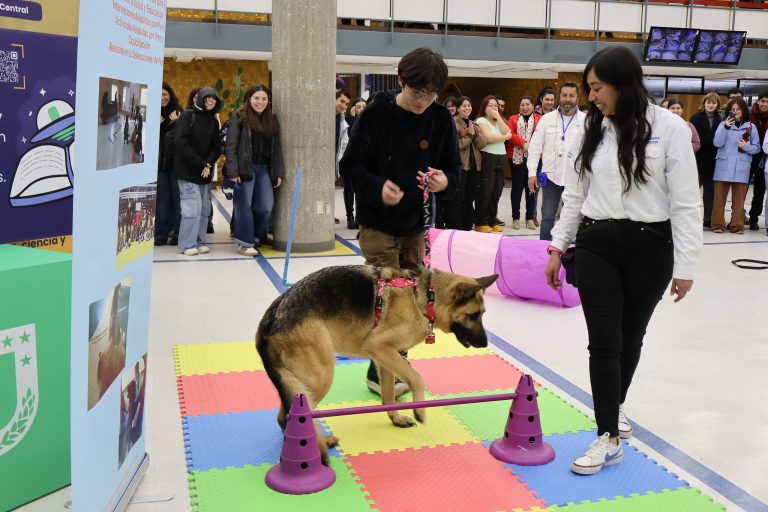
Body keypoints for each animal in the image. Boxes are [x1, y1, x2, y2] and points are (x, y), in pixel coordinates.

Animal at [258, 264, 498, 464]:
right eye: (473, 315)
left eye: (482, 315)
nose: (485, 344)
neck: (424, 296)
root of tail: (268, 323)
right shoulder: (380, 347)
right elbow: (416, 377)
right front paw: (419, 411)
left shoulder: (386, 358)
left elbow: (388, 396)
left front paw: (396, 419)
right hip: (319, 378)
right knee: (291, 415)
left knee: (284, 415)